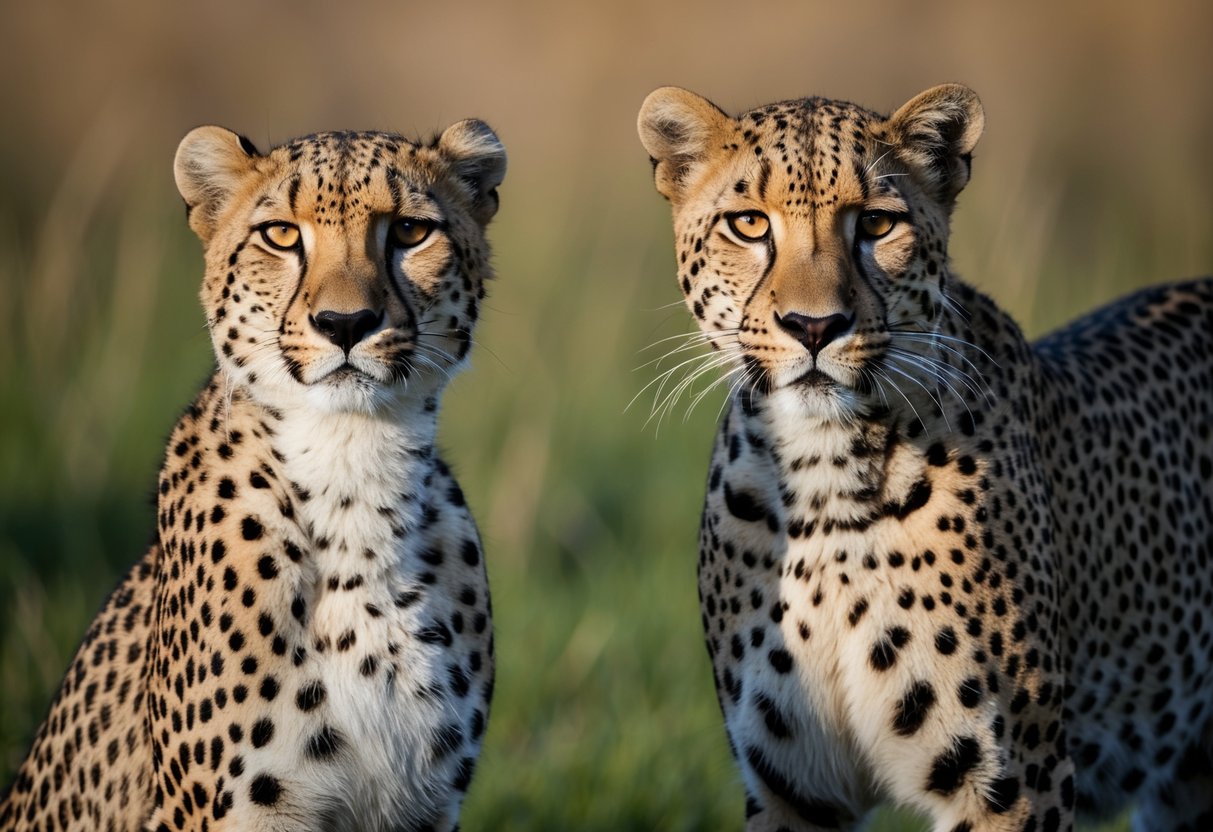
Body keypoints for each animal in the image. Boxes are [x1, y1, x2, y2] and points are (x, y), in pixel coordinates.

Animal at [638, 83, 1213, 832]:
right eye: (749, 224)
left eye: (878, 225)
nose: (814, 326)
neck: (822, 478)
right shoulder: (792, 787)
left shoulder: (1013, 782)